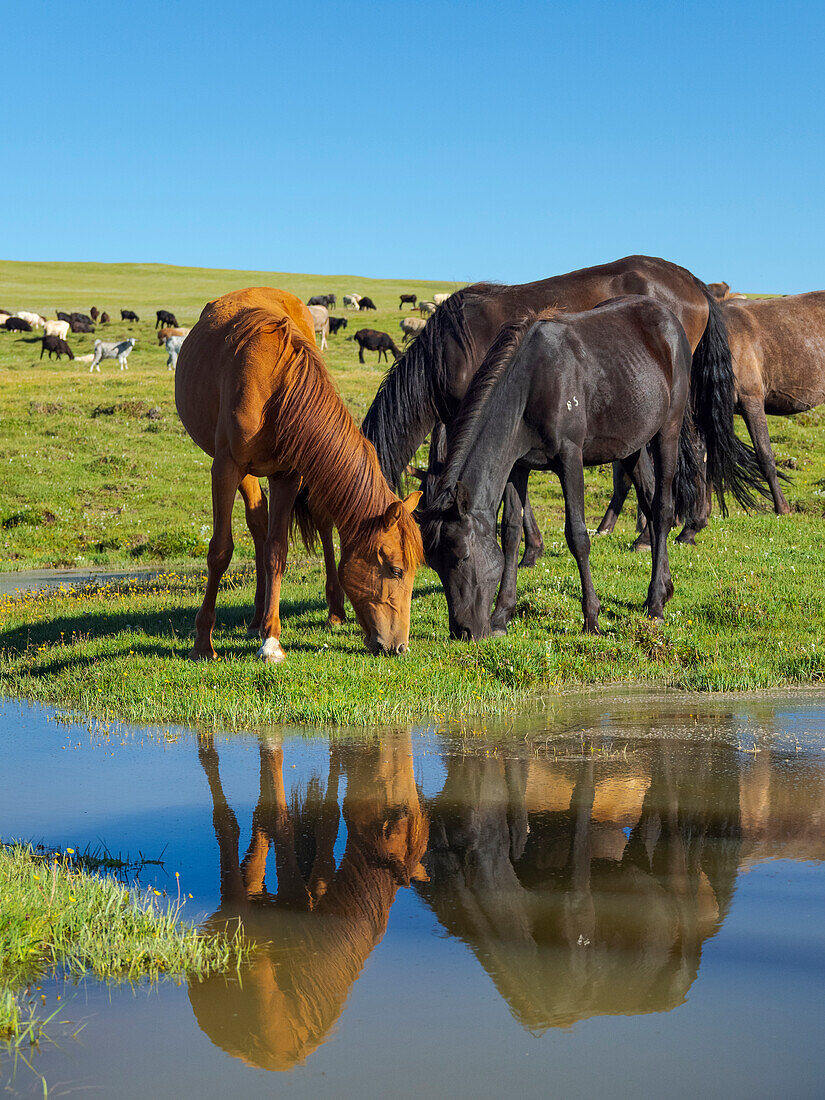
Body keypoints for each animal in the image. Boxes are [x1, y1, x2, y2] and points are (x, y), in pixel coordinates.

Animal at [172, 286, 420, 660]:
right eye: (395, 569)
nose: (400, 646)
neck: (276, 388)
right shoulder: (225, 468)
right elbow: (220, 551)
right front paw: (203, 643)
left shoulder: (287, 475)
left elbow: (277, 552)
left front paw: (272, 640)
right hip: (240, 470)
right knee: (256, 523)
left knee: (295, 525)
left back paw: (304, 613)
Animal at [422, 297, 708, 642]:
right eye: (435, 564)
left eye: (463, 556)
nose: (463, 631)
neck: (532, 384)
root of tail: (668, 317)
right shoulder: (517, 467)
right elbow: (511, 534)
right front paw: (501, 615)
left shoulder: (570, 459)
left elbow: (577, 536)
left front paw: (592, 619)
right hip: (631, 447)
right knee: (650, 505)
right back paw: (664, 588)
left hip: (668, 430)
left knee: (663, 510)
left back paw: (655, 604)